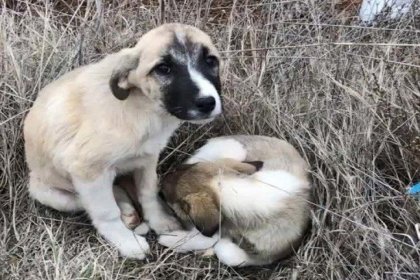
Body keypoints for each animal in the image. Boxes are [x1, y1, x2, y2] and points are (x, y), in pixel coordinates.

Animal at [23, 23, 223, 260]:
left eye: (210, 61)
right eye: (163, 68)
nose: (207, 102)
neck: (143, 110)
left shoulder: (147, 159)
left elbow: (147, 193)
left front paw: (160, 221)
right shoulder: (87, 170)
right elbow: (106, 211)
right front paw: (127, 242)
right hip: (48, 192)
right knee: (86, 201)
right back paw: (125, 213)